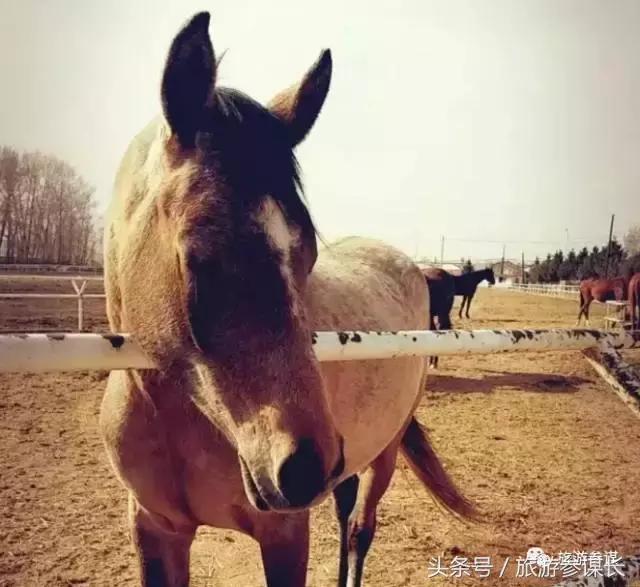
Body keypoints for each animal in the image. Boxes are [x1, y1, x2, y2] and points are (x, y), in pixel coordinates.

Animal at [100, 13, 477, 587]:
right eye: (198, 254)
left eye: (308, 252)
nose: (303, 468)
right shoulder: (154, 529)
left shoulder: (284, 533)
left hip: (382, 454)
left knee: (359, 530)